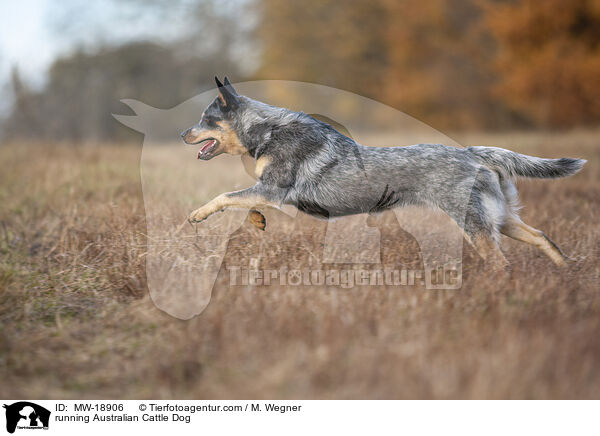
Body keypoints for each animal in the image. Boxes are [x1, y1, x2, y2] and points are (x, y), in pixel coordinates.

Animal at [180, 77, 584, 266]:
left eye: (204, 119)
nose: (182, 133)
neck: (266, 130)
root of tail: (472, 153)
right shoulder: (271, 192)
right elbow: (245, 204)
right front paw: (258, 222)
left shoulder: (274, 190)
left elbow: (225, 197)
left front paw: (197, 215)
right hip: (500, 219)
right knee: (543, 238)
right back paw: (567, 275)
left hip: (474, 224)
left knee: (502, 263)